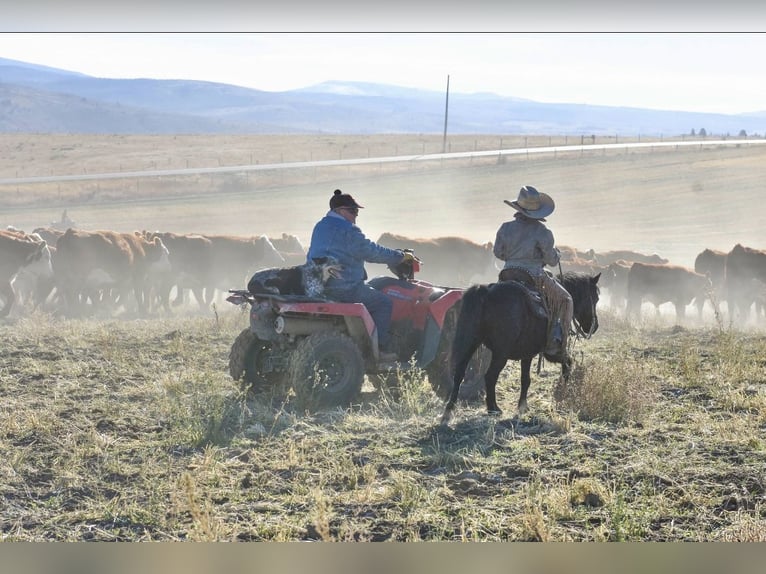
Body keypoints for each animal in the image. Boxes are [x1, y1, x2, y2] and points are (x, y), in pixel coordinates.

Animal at [440, 272, 604, 426]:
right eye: (595, 298)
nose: (595, 326)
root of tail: (486, 292)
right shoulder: (553, 351)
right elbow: (568, 363)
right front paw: (562, 392)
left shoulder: (527, 354)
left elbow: (525, 379)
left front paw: (522, 406)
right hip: (500, 353)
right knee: (490, 376)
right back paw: (493, 408)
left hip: (470, 343)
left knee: (459, 373)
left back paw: (448, 412)